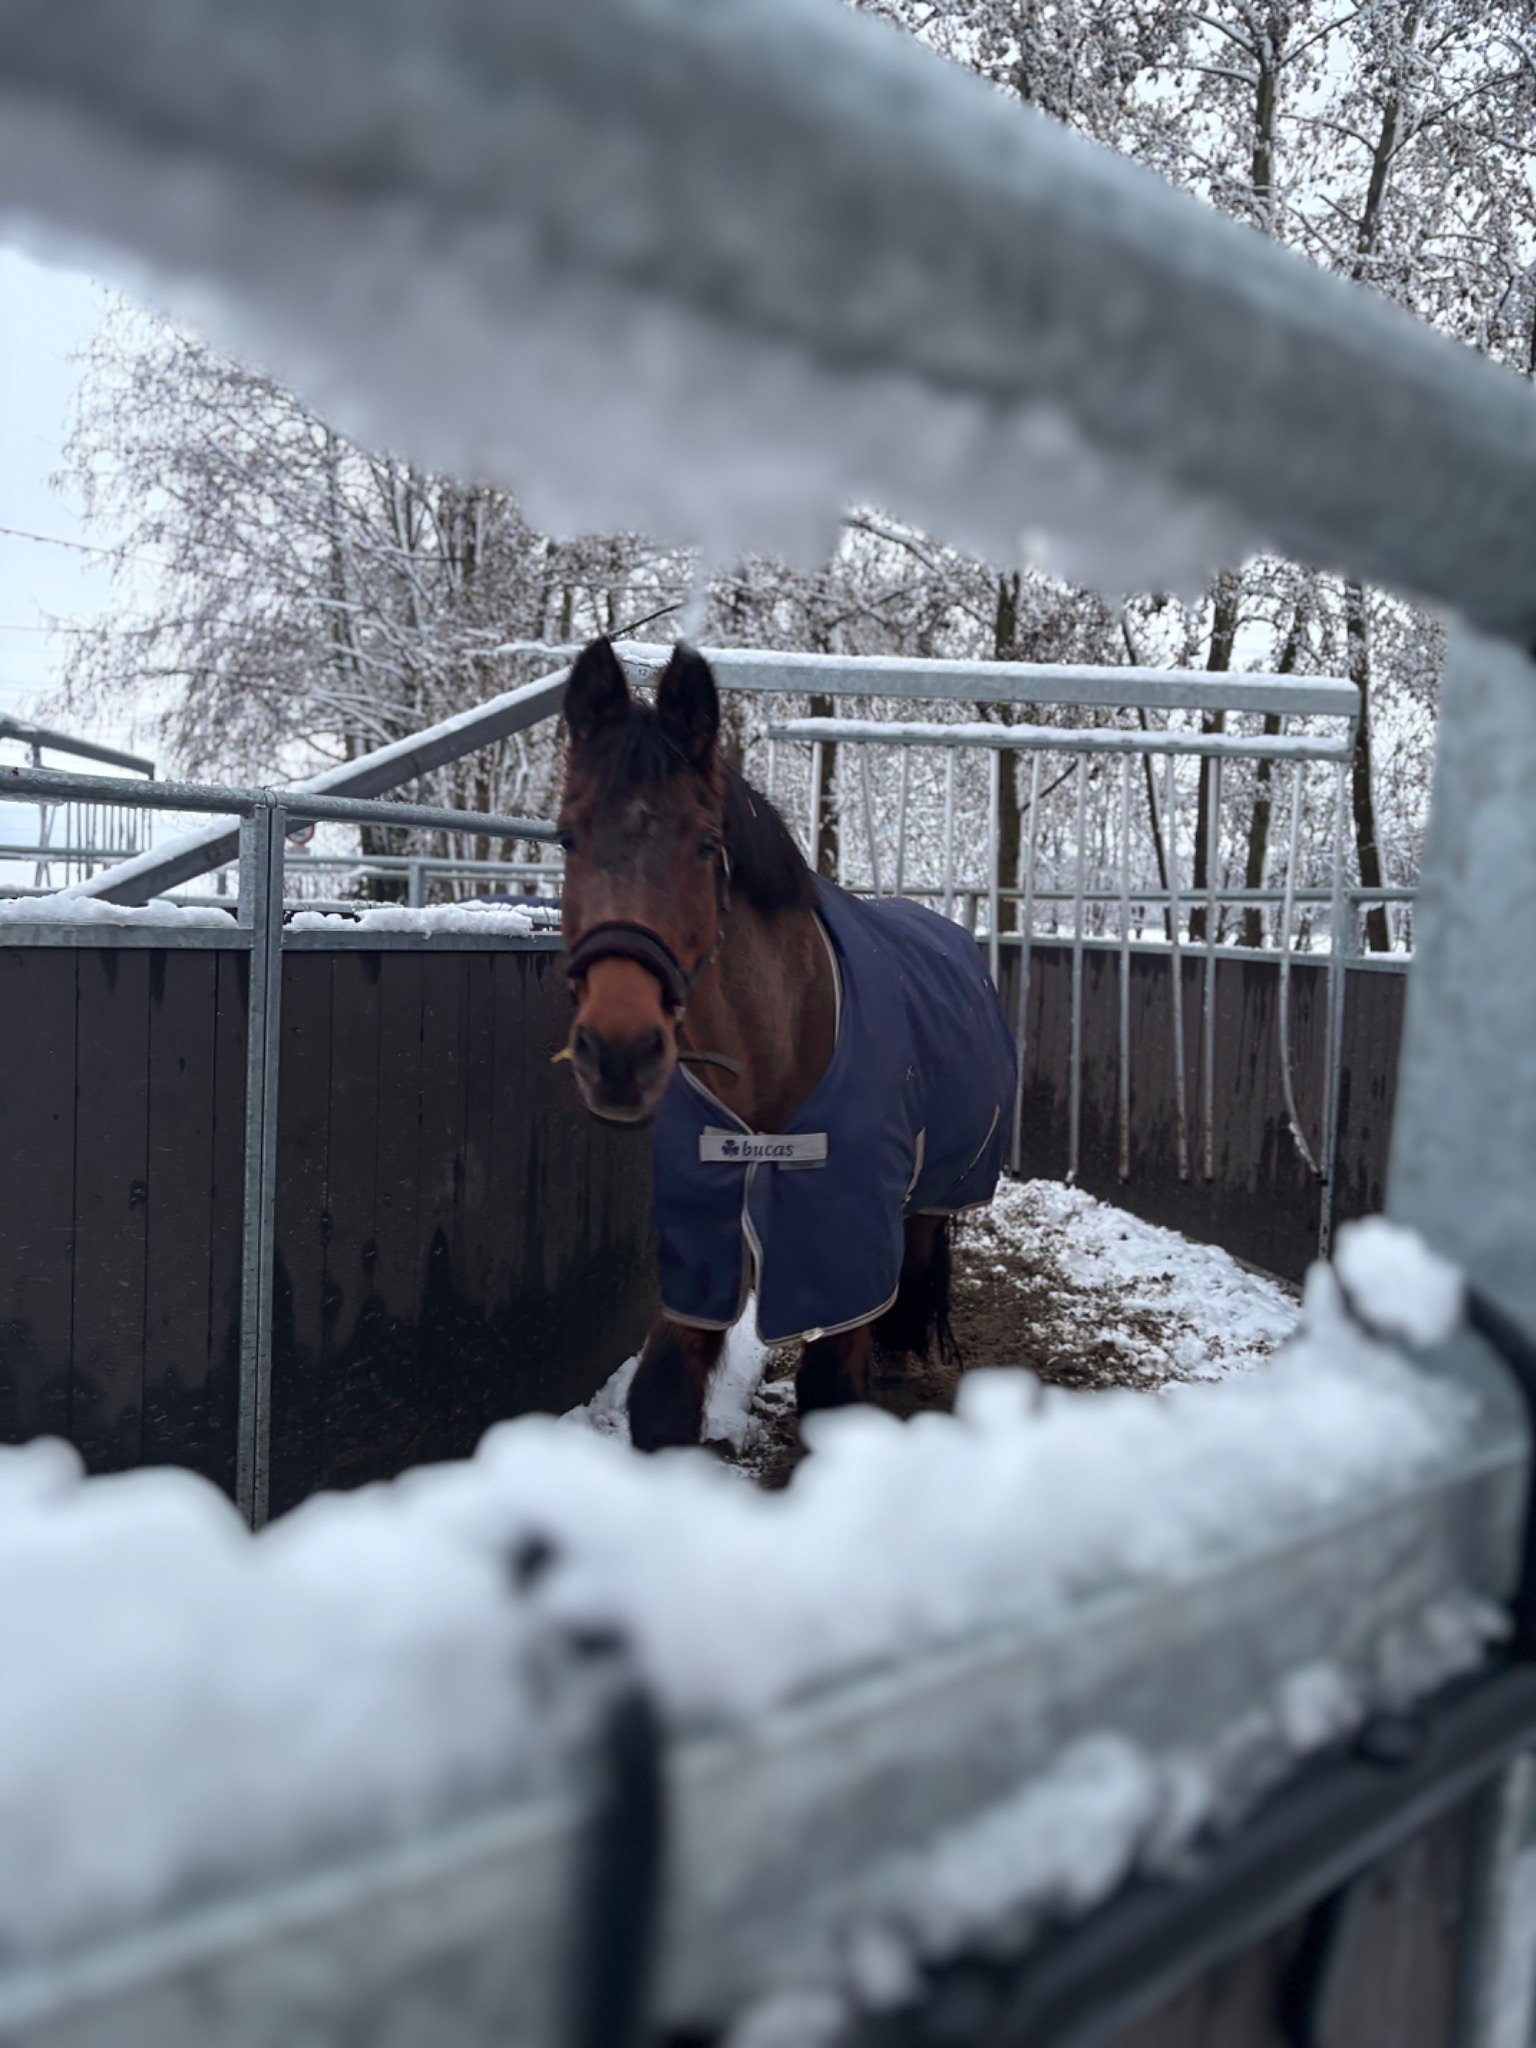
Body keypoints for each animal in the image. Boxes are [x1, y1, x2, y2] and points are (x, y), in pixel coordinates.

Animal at [556, 636, 1018, 1452]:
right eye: (567, 836)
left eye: (706, 843)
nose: (618, 1052)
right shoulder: (701, 1251)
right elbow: (662, 1400)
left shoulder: (845, 1249)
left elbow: (832, 1389)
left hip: (935, 1194)